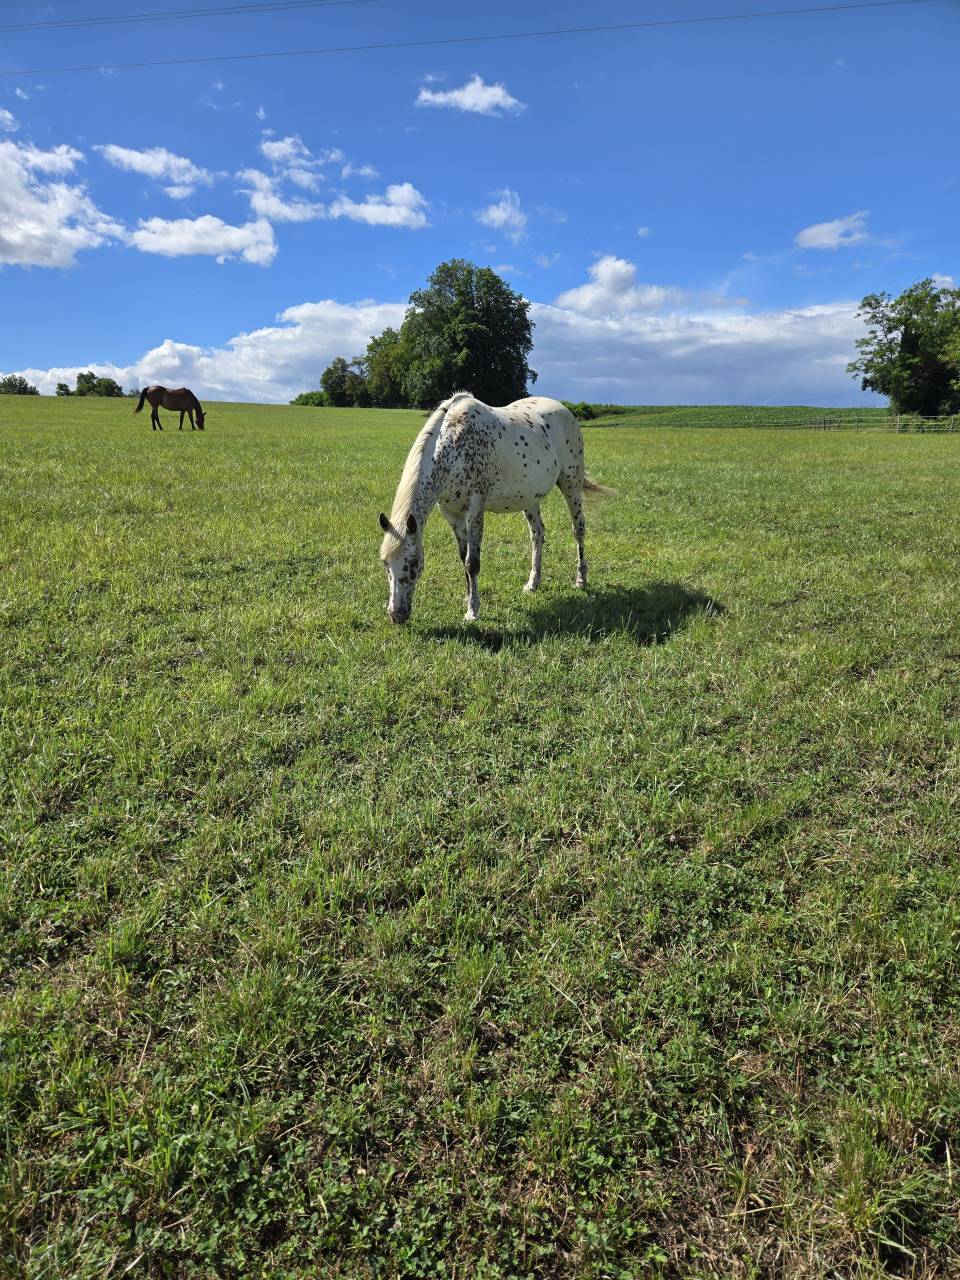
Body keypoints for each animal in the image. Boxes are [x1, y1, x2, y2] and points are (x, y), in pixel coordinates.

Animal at [378, 393, 612, 625]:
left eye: (413, 564)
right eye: (385, 563)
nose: (396, 615)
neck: (452, 446)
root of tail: (565, 410)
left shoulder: (475, 507)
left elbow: (472, 562)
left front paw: (473, 611)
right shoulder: (450, 512)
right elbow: (463, 556)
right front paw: (467, 598)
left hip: (571, 483)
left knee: (578, 529)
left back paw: (581, 579)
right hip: (530, 498)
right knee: (537, 535)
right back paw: (533, 583)